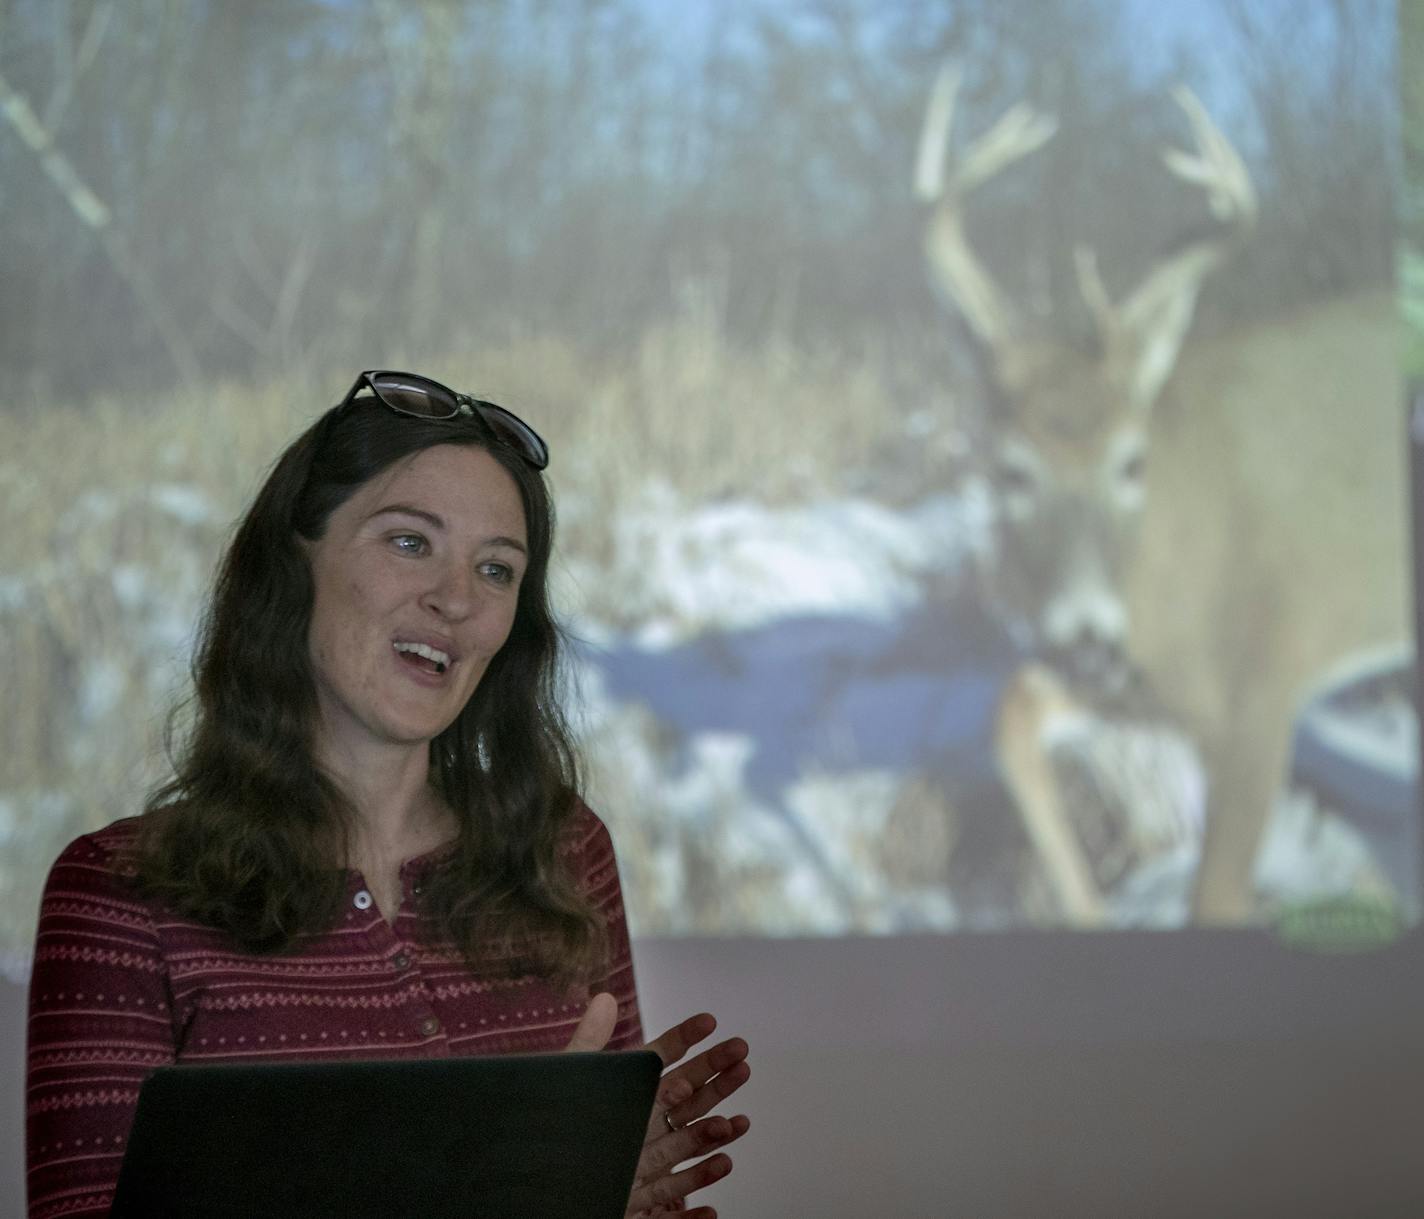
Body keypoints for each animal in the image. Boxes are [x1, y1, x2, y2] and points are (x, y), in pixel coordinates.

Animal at [922, 66, 1401, 917]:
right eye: (1011, 468)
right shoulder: (1141, 681)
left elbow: (1215, 900)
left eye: (1131, 462)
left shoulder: (1265, 691)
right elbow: (1011, 715)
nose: (1086, 637)